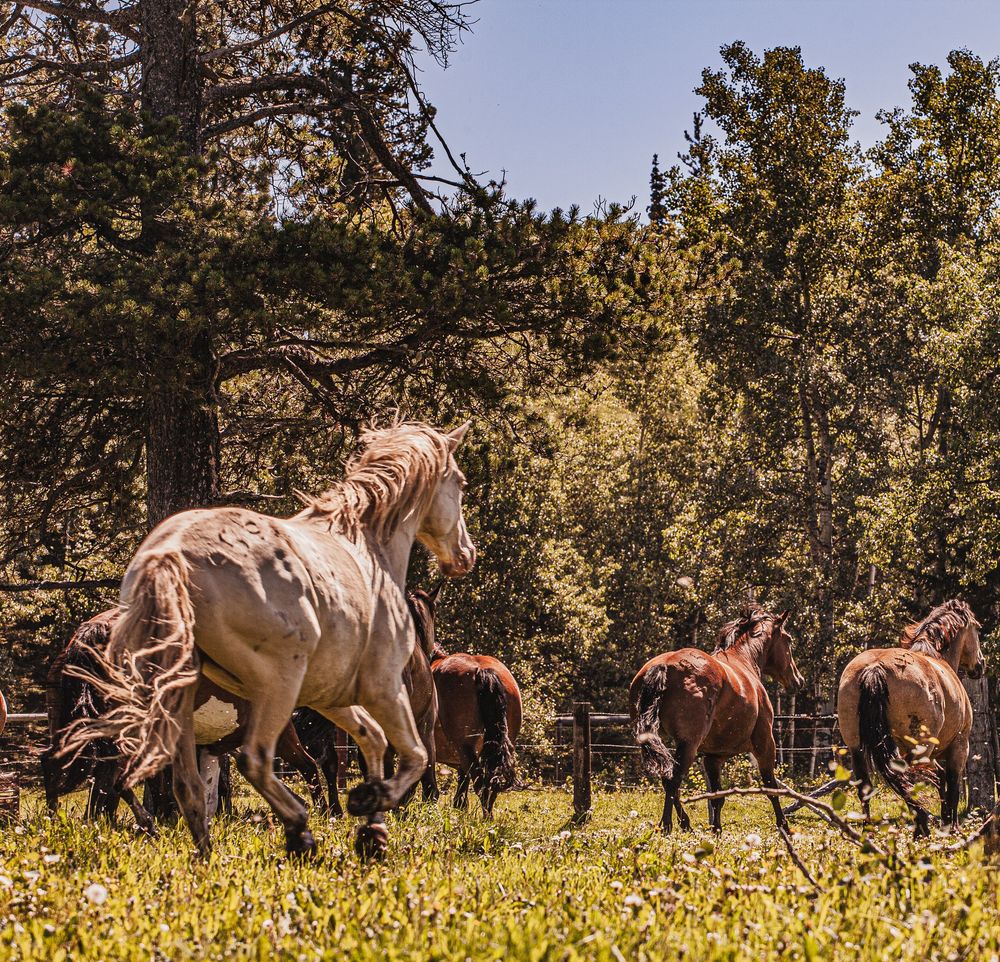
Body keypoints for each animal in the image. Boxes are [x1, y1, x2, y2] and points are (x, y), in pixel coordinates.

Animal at [630, 604, 804, 834]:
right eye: (789, 640)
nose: (798, 680)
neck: (743, 661)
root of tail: (664, 666)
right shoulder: (765, 744)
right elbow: (771, 787)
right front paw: (784, 826)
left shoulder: (713, 757)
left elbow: (716, 798)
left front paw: (716, 830)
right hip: (688, 745)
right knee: (672, 781)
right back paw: (667, 825)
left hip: (659, 742)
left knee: (668, 779)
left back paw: (684, 823)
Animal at [837, 599, 984, 837]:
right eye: (977, 628)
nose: (980, 665)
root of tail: (875, 668)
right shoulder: (960, 745)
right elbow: (952, 785)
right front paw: (952, 828)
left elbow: (941, 781)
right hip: (919, 748)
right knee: (910, 780)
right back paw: (921, 827)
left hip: (856, 747)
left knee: (866, 787)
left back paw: (869, 831)